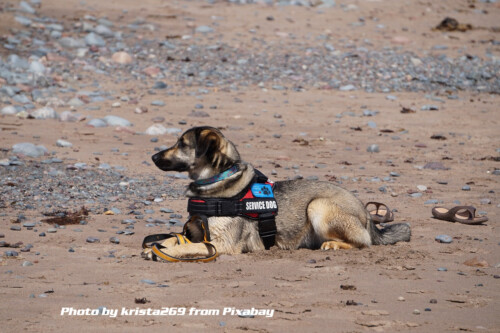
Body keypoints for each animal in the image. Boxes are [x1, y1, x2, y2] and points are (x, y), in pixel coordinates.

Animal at [148, 126, 410, 258]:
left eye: (182, 144)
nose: (153, 157)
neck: (217, 180)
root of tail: (368, 216)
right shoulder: (195, 232)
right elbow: (173, 238)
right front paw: (158, 246)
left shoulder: (222, 243)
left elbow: (186, 246)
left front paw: (161, 252)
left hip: (319, 206)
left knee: (364, 242)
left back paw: (335, 245)